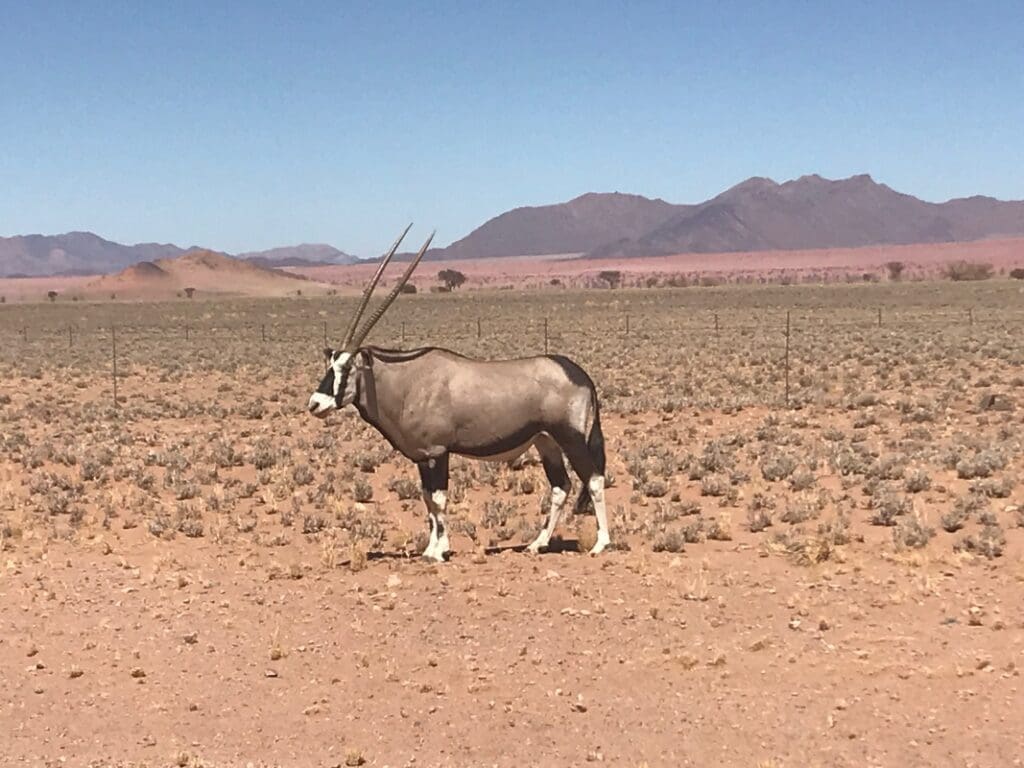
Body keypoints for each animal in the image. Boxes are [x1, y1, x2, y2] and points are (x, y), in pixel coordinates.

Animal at [307, 225, 610, 561]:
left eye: (346, 367)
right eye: (330, 364)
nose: (315, 404)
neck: (407, 380)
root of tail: (579, 373)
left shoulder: (438, 452)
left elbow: (438, 499)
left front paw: (439, 551)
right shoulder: (422, 457)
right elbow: (427, 498)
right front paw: (432, 547)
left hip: (570, 437)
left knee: (593, 479)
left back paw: (601, 544)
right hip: (546, 442)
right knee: (561, 486)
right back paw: (536, 543)